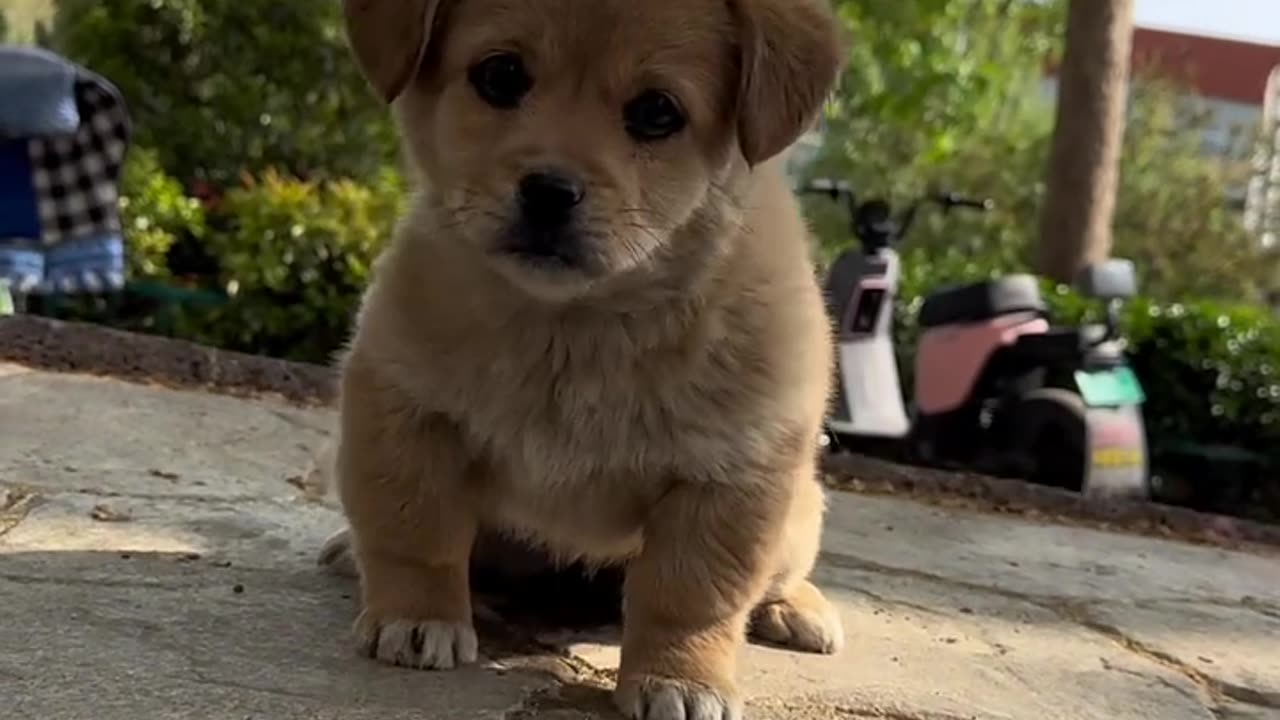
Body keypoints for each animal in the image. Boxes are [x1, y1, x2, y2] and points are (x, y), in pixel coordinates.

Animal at [332, 2, 849, 712]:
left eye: (657, 111)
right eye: (500, 75)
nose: (550, 190)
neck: (578, 329)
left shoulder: (733, 474)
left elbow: (691, 598)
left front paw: (682, 677)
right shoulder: (403, 403)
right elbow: (415, 532)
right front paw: (417, 616)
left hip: (799, 515)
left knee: (770, 580)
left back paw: (795, 608)